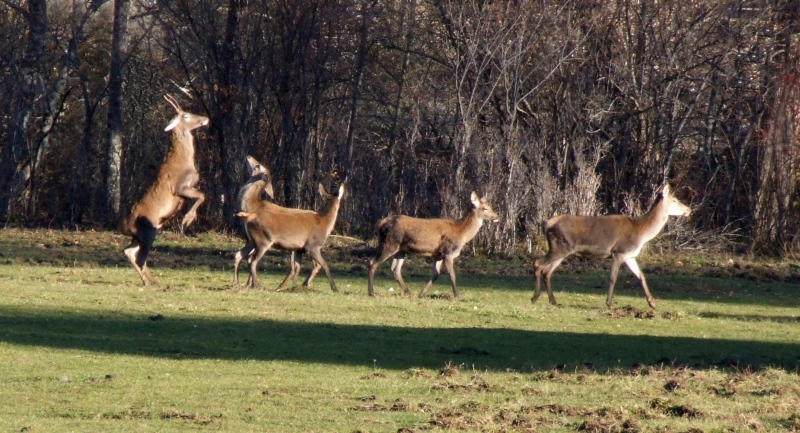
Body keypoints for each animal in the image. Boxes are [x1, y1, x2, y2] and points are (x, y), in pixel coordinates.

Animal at [119, 93, 209, 286]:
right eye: (185, 116)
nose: (205, 118)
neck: (184, 161)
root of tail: (123, 226)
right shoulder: (179, 187)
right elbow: (202, 195)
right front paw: (187, 219)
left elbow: (201, 195)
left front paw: (187, 219)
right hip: (149, 231)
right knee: (139, 256)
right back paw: (151, 282)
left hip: (140, 236)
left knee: (129, 251)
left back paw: (151, 281)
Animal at [368, 191, 500, 298]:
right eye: (484, 208)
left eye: (490, 206)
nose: (497, 216)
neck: (462, 233)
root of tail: (380, 223)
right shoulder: (448, 252)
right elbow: (452, 274)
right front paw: (457, 295)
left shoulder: (438, 255)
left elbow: (436, 274)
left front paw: (422, 293)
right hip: (389, 243)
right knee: (373, 263)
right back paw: (371, 292)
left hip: (401, 250)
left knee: (395, 269)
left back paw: (408, 292)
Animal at [536, 184, 692, 308]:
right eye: (674, 200)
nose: (689, 209)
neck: (641, 232)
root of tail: (546, 223)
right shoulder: (618, 251)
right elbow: (613, 277)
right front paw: (609, 303)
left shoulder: (630, 255)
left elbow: (641, 275)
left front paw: (652, 303)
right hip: (560, 247)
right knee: (538, 263)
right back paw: (535, 297)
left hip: (561, 249)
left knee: (547, 272)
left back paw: (553, 301)